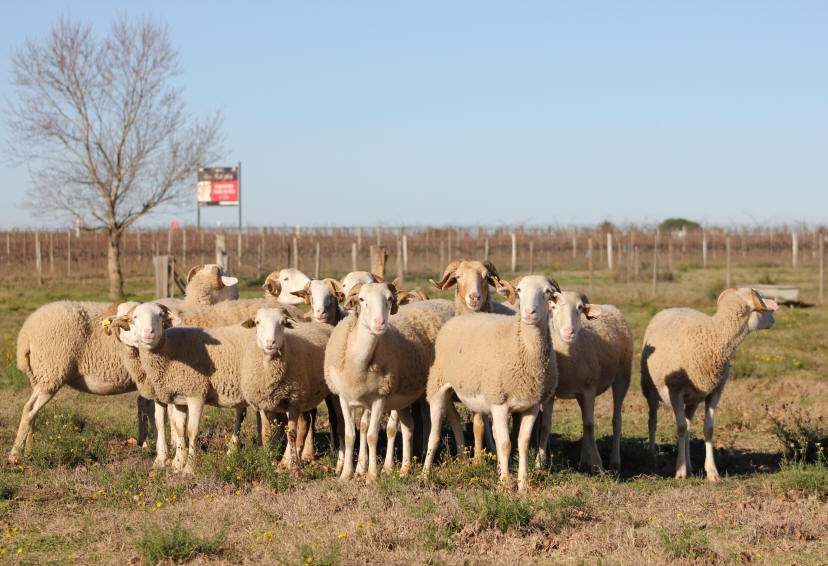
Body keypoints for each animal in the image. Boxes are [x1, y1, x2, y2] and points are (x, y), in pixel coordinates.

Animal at [238, 310, 332, 470]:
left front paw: (291, 466)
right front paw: (268, 462)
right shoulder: (264, 405)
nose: (270, 343)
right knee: (306, 421)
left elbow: (291, 434)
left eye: (282, 323)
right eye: (257, 322)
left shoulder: (293, 401)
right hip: (305, 395)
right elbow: (266, 434)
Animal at [324, 282, 456, 482]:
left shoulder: (380, 397)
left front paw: (372, 475)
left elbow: (372, 436)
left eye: (389, 299)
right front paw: (346, 474)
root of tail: (444, 302)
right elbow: (349, 435)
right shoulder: (344, 399)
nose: (380, 323)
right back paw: (406, 468)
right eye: (361, 299)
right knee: (410, 427)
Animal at [424, 276, 560, 492]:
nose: (529, 313)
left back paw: (463, 462)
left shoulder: (531, 404)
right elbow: (505, 444)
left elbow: (522, 443)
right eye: (519, 290)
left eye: (547, 292)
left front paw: (523, 486)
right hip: (437, 384)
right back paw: (425, 475)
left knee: (454, 421)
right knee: (434, 434)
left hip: (452, 391)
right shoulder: (499, 402)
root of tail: (457, 318)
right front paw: (505, 485)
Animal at [536, 290, 632, 472]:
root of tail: (610, 306)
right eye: (553, 307)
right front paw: (539, 464)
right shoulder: (551, 393)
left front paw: (598, 465)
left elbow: (589, 425)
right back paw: (583, 461)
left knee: (616, 420)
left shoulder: (589, 389)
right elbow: (545, 425)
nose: (569, 332)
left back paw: (614, 463)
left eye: (580, 308)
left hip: (623, 375)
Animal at [640, 286, 776, 482]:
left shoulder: (714, 392)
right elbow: (680, 428)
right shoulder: (675, 391)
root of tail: (672, 308)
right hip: (650, 388)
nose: (773, 318)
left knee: (689, 426)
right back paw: (652, 455)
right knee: (653, 420)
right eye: (762, 300)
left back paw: (689, 464)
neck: (715, 336)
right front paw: (680, 472)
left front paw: (711, 472)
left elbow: (708, 429)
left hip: (693, 399)